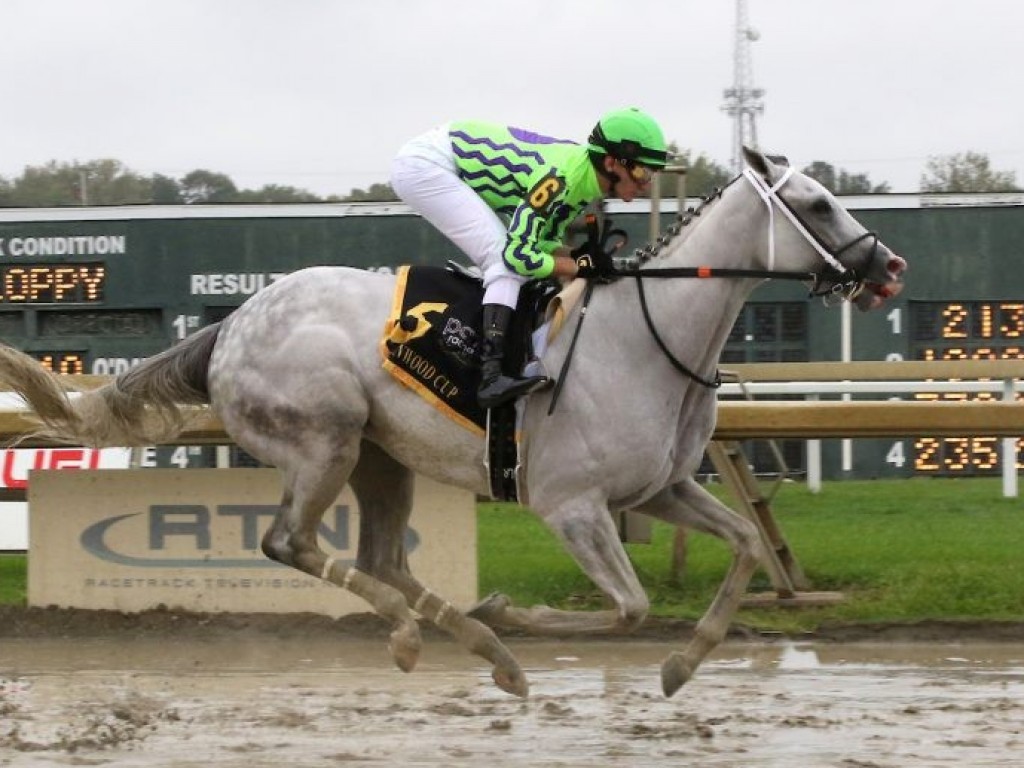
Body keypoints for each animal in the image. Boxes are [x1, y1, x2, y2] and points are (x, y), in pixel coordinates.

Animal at [0, 148, 905, 696]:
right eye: (818, 203)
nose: (889, 267)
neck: (646, 337)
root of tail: (229, 327)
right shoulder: (570, 505)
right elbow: (630, 607)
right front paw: (513, 613)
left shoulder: (659, 489)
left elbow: (747, 544)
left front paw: (682, 666)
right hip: (324, 440)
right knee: (291, 544)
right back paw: (432, 637)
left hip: (380, 457)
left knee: (380, 559)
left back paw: (482, 652)